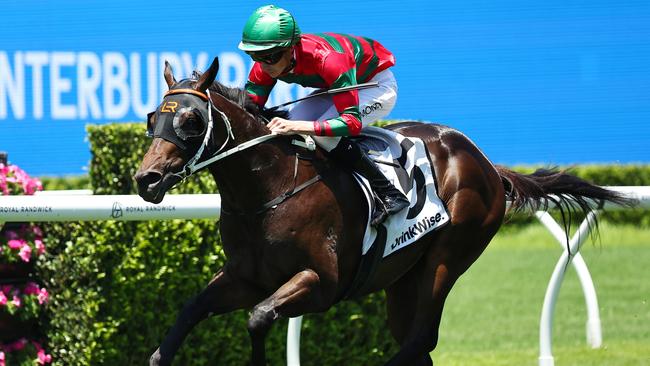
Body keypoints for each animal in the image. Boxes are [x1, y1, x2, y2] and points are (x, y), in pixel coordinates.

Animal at [133, 56, 632, 364]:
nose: (146, 180)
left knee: (419, 339)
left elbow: (258, 317)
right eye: (153, 118)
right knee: (418, 344)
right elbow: (186, 316)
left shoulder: (321, 283)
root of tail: (487, 163)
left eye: (191, 120)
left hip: (449, 255)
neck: (269, 190)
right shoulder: (244, 278)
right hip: (401, 279)